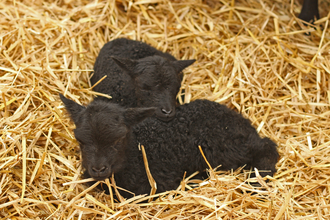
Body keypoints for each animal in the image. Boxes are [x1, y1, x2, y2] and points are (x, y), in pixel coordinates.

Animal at [60, 94, 278, 199]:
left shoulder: (159, 183)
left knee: (266, 148)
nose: (98, 169)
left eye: (118, 139)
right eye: (81, 140)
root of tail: (242, 121)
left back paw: (257, 181)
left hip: (224, 147)